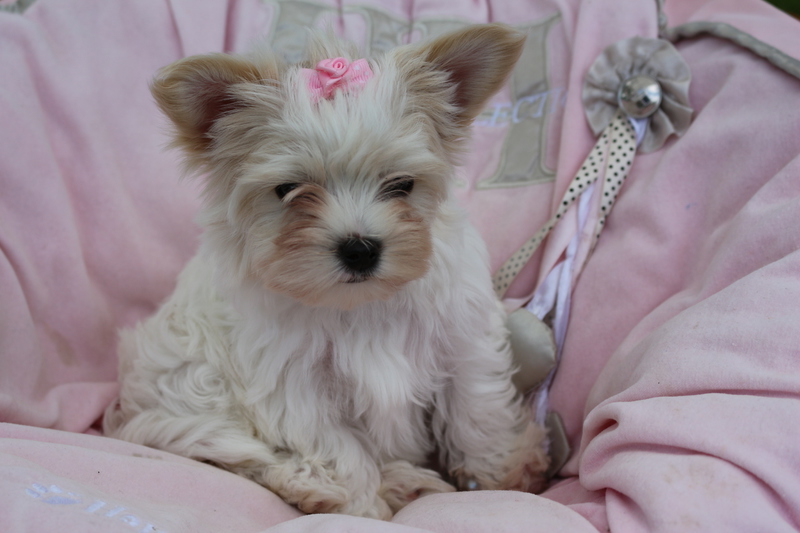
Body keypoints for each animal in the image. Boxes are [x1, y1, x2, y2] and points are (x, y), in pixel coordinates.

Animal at [103, 23, 549, 519]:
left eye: (401, 184)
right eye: (288, 190)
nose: (359, 249)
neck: (362, 302)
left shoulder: (463, 341)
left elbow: (478, 408)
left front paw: (505, 474)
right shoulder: (296, 387)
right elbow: (340, 448)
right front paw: (364, 509)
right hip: (192, 385)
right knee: (239, 456)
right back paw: (340, 484)